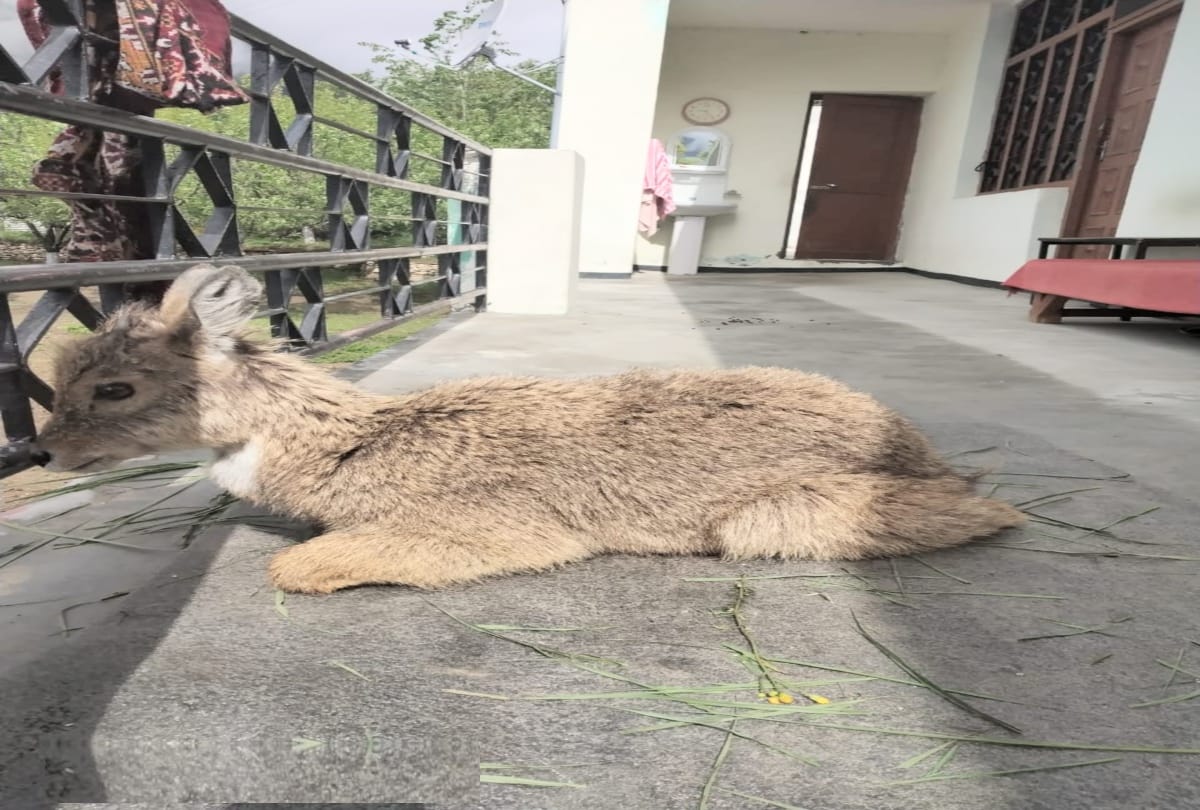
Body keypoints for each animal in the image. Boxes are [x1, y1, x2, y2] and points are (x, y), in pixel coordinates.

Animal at [32, 264, 1025, 594]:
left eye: (114, 388)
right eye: (63, 370)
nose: (41, 450)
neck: (346, 444)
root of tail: (923, 451)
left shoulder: (495, 525)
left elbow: (299, 567)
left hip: (779, 517)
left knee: (997, 513)